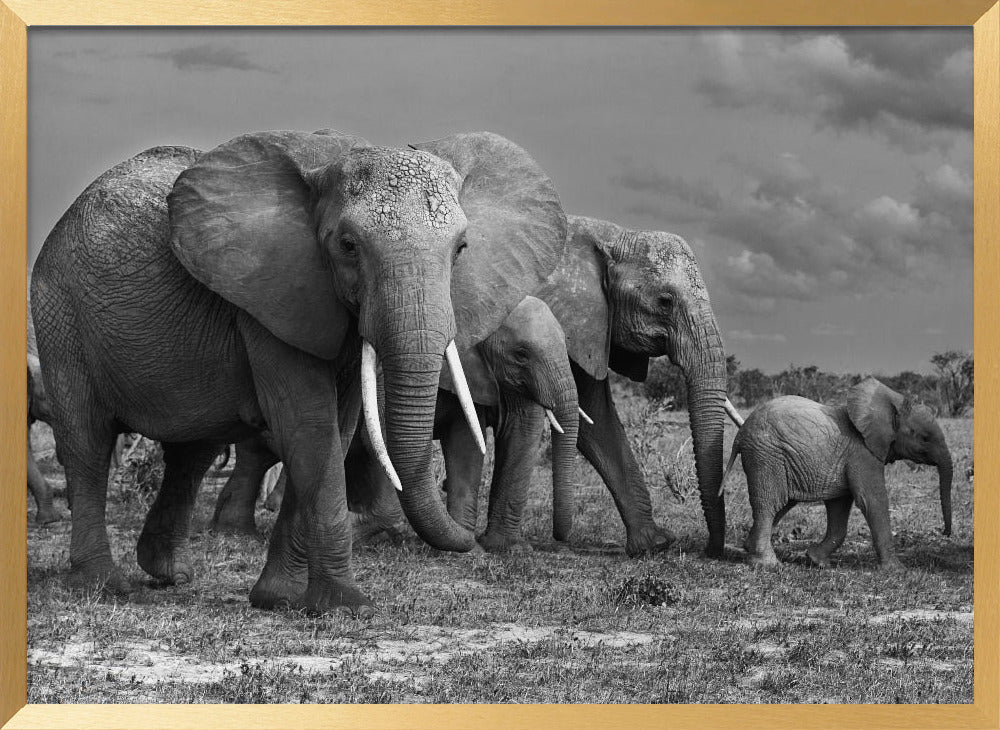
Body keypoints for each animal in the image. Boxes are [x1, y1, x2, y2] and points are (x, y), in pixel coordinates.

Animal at [211, 294, 585, 554]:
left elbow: (466, 444)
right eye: (521, 354)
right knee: (261, 454)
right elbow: (382, 440)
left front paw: (474, 547)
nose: (562, 538)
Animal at [536, 216, 737, 557]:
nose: (710, 550)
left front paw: (654, 544)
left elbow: (594, 418)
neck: (608, 237)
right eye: (665, 302)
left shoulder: (589, 324)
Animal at [719, 377, 954, 569]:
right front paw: (897, 570)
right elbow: (872, 501)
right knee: (769, 503)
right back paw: (768, 564)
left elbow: (839, 506)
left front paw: (817, 561)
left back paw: (748, 547)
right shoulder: (862, 453)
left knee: (783, 503)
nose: (945, 533)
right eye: (925, 438)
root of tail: (740, 435)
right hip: (766, 455)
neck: (891, 403)